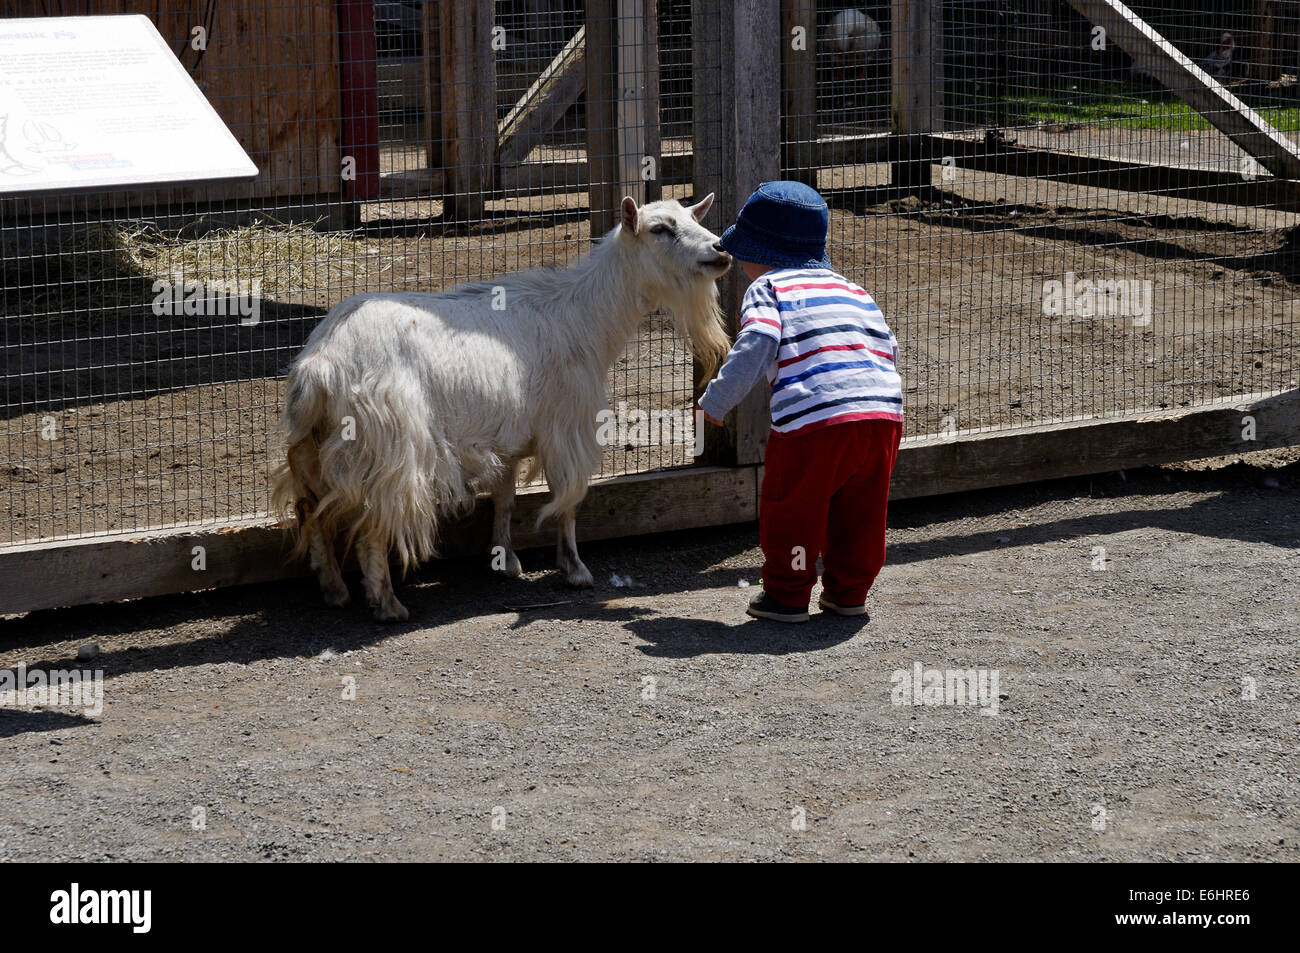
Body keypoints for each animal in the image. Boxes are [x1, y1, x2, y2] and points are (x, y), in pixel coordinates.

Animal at [269, 197, 733, 621]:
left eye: (693, 217)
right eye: (660, 229)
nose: (720, 250)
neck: (581, 318)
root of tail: (321, 363)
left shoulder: (508, 434)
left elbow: (506, 498)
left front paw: (505, 559)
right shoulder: (566, 427)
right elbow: (568, 499)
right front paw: (575, 569)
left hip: (316, 447)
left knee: (309, 511)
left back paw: (334, 589)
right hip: (389, 447)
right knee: (372, 523)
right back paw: (386, 604)